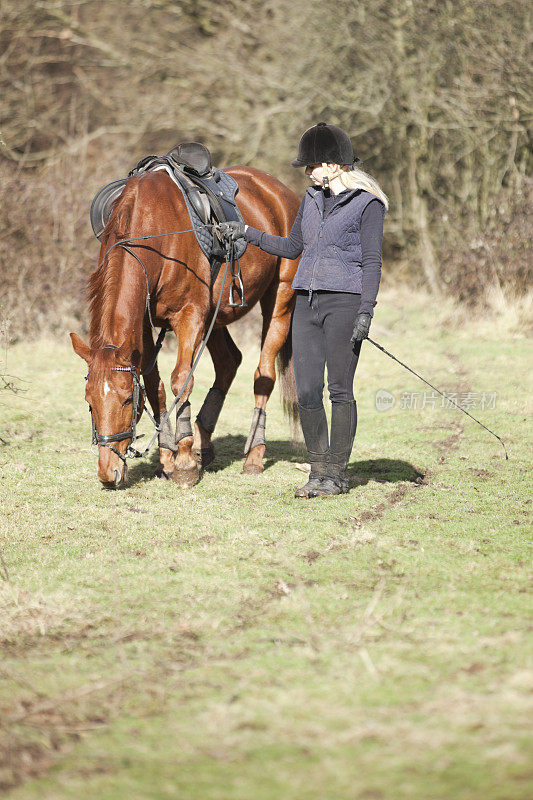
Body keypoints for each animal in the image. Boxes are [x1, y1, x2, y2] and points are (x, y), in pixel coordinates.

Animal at [71, 167, 302, 488]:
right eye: (89, 401)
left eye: (128, 400)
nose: (108, 473)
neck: (151, 231)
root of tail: (280, 192)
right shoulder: (145, 325)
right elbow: (154, 385)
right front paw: (167, 458)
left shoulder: (189, 316)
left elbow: (181, 381)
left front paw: (184, 463)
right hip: (215, 316)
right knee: (229, 362)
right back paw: (204, 442)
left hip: (279, 302)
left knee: (264, 375)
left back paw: (254, 456)